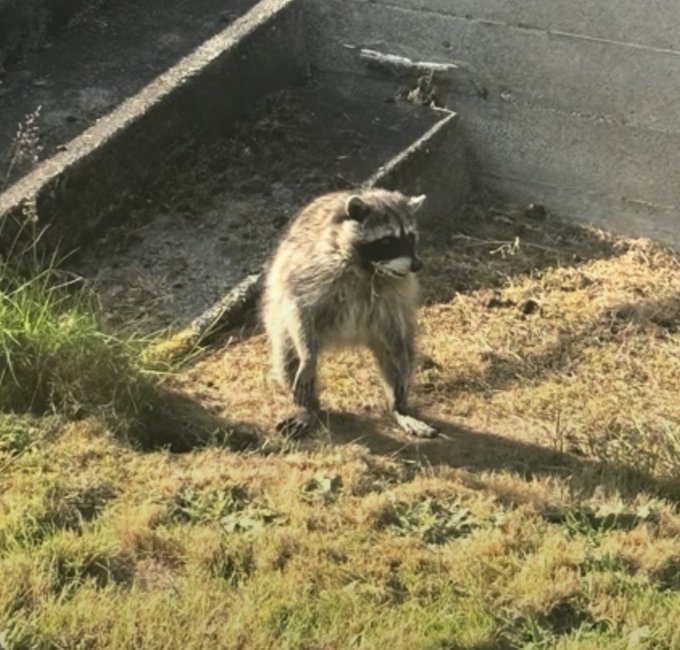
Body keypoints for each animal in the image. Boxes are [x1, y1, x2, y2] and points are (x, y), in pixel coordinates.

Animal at [261, 188, 437, 439]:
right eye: (388, 241)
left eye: (411, 237)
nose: (417, 266)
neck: (369, 267)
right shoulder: (310, 268)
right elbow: (298, 306)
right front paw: (308, 357)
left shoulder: (394, 293)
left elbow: (395, 323)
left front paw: (401, 368)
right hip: (286, 327)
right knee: (287, 359)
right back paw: (308, 409)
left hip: (380, 334)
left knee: (398, 354)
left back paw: (398, 406)